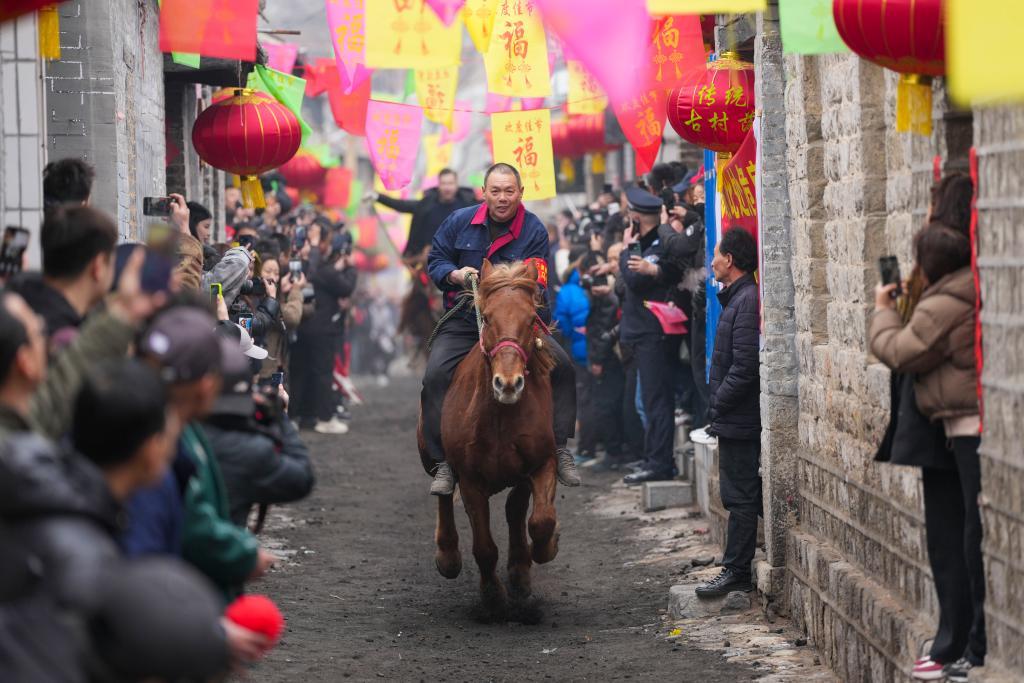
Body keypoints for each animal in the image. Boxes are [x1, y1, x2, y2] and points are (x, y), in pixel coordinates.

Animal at [417, 259, 560, 617]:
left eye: (530, 319)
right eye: (490, 317)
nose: (507, 384)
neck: (499, 415)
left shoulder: (540, 464)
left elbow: (539, 520)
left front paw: (539, 555)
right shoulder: (470, 480)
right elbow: (483, 546)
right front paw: (493, 596)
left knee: (514, 512)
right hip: (431, 455)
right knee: (443, 496)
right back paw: (448, 557)